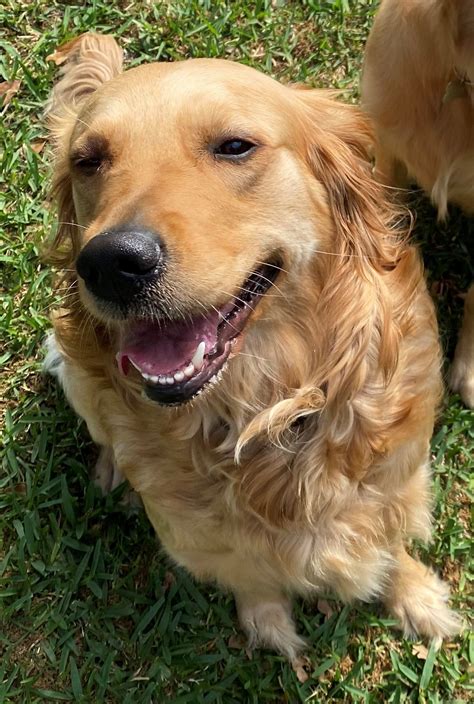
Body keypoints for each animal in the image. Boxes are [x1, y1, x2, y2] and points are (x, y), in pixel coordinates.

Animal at [43, 33, 460, 660]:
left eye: (234, 146)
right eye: (88, 160)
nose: (111, 263)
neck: (267, 418)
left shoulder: (400, 479)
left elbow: (392, 543)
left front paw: (418, 598)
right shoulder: (197, 536)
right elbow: (251, 575)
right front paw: (268, 623)